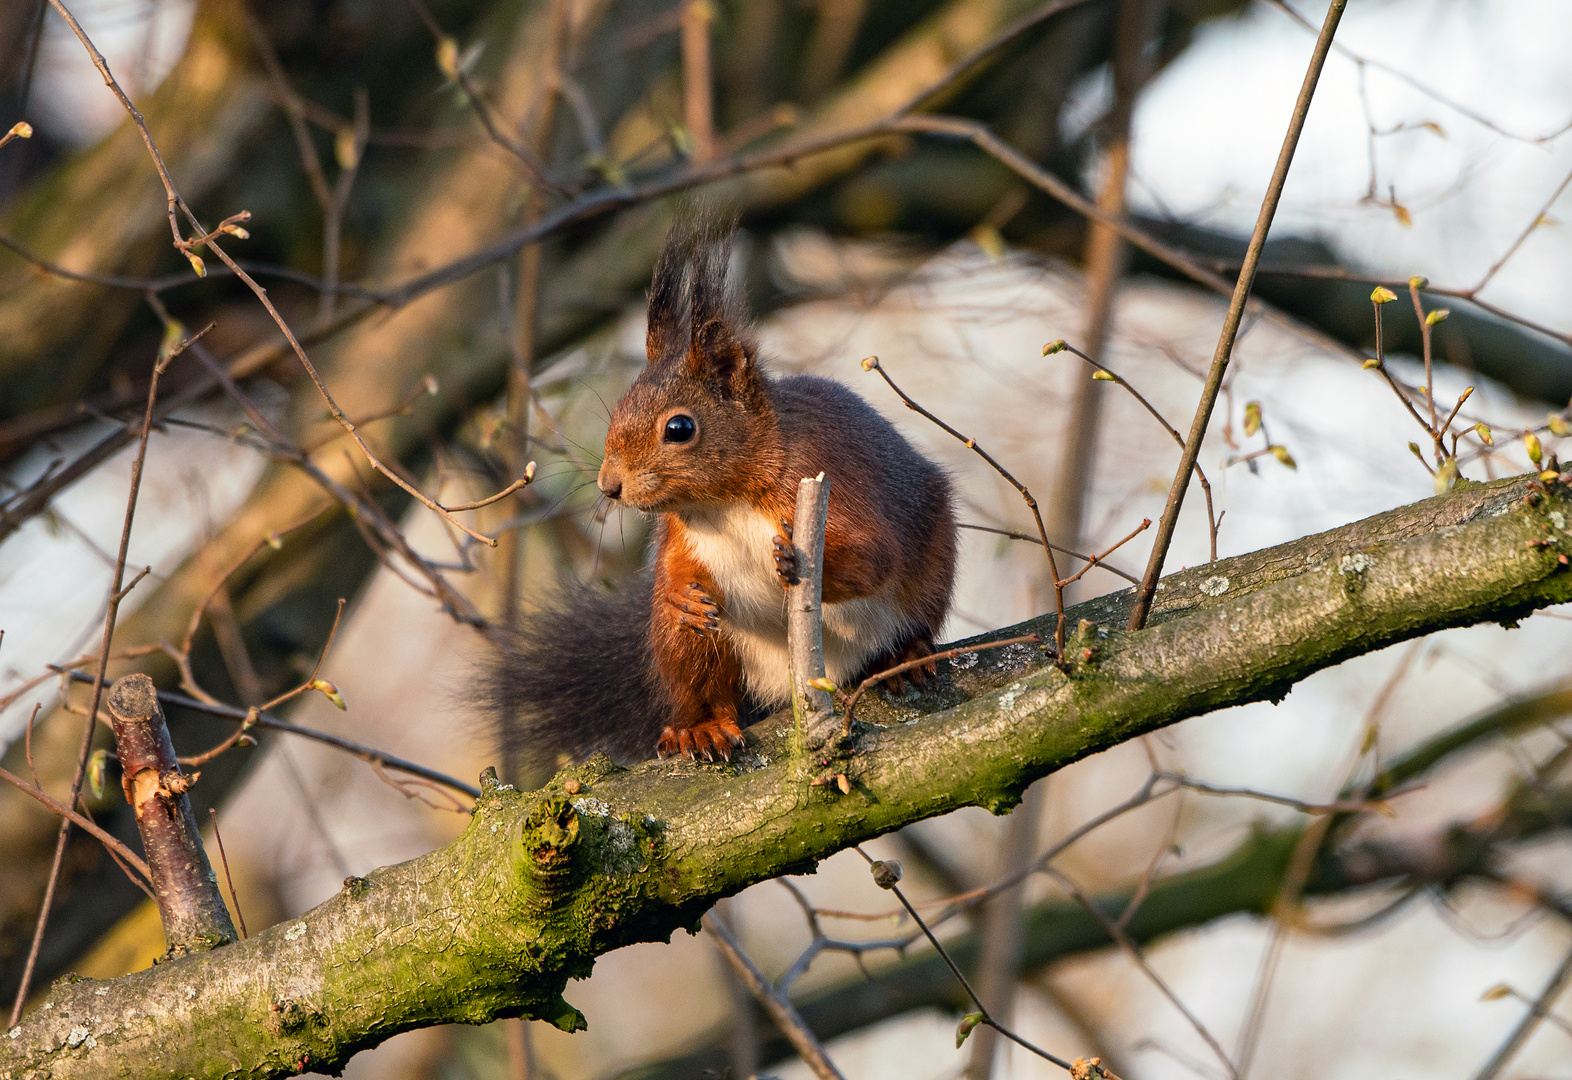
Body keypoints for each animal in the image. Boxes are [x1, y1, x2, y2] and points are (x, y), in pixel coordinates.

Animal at [490, 221, 955, 770]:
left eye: (680, 428)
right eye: (620, 406)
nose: (609, 485)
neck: (722, 502)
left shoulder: (832, 482)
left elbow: (871, 557)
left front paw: (796, 563)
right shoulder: (679, 534)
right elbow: (672, 569)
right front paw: (677, 595)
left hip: (933, 566)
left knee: (914, 617)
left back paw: (906, 656)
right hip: (696, 648)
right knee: (706, 686)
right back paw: (701, 728)